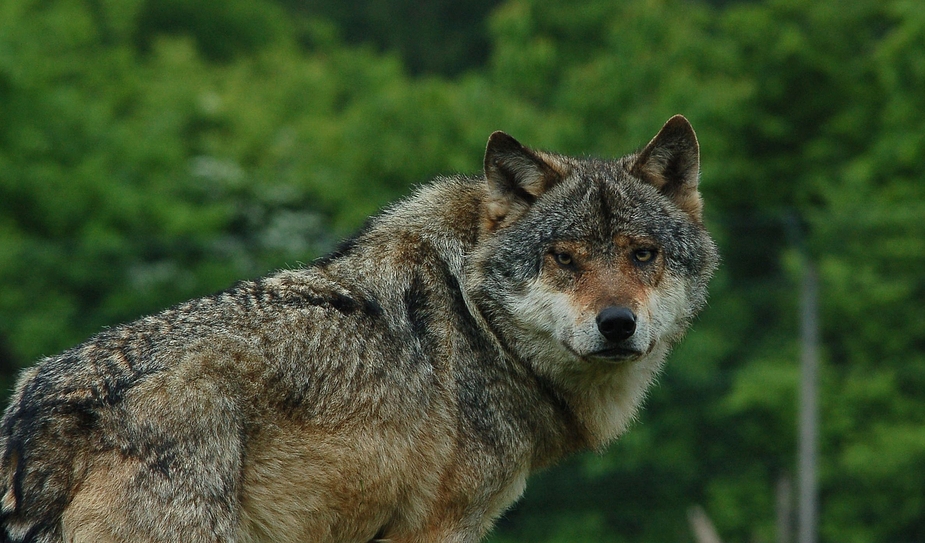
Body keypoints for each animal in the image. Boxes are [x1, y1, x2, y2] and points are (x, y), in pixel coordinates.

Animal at [0, 116, 720, 543]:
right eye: (564, 258)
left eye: (643, 254)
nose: (617, 323)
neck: (480, 321)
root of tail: (40, 404)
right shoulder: (437, 529)